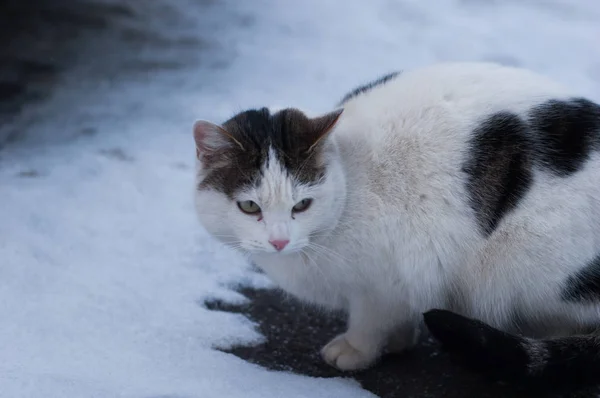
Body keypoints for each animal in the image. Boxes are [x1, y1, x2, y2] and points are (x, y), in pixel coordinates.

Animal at [193, 62, 600, 388]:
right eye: (249, 207)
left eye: (302, 205)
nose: (278, 241)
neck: (349, 182)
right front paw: (399, 340)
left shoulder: (387, 276)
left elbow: (371, 318)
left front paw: (357, 349)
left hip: (526, 258)